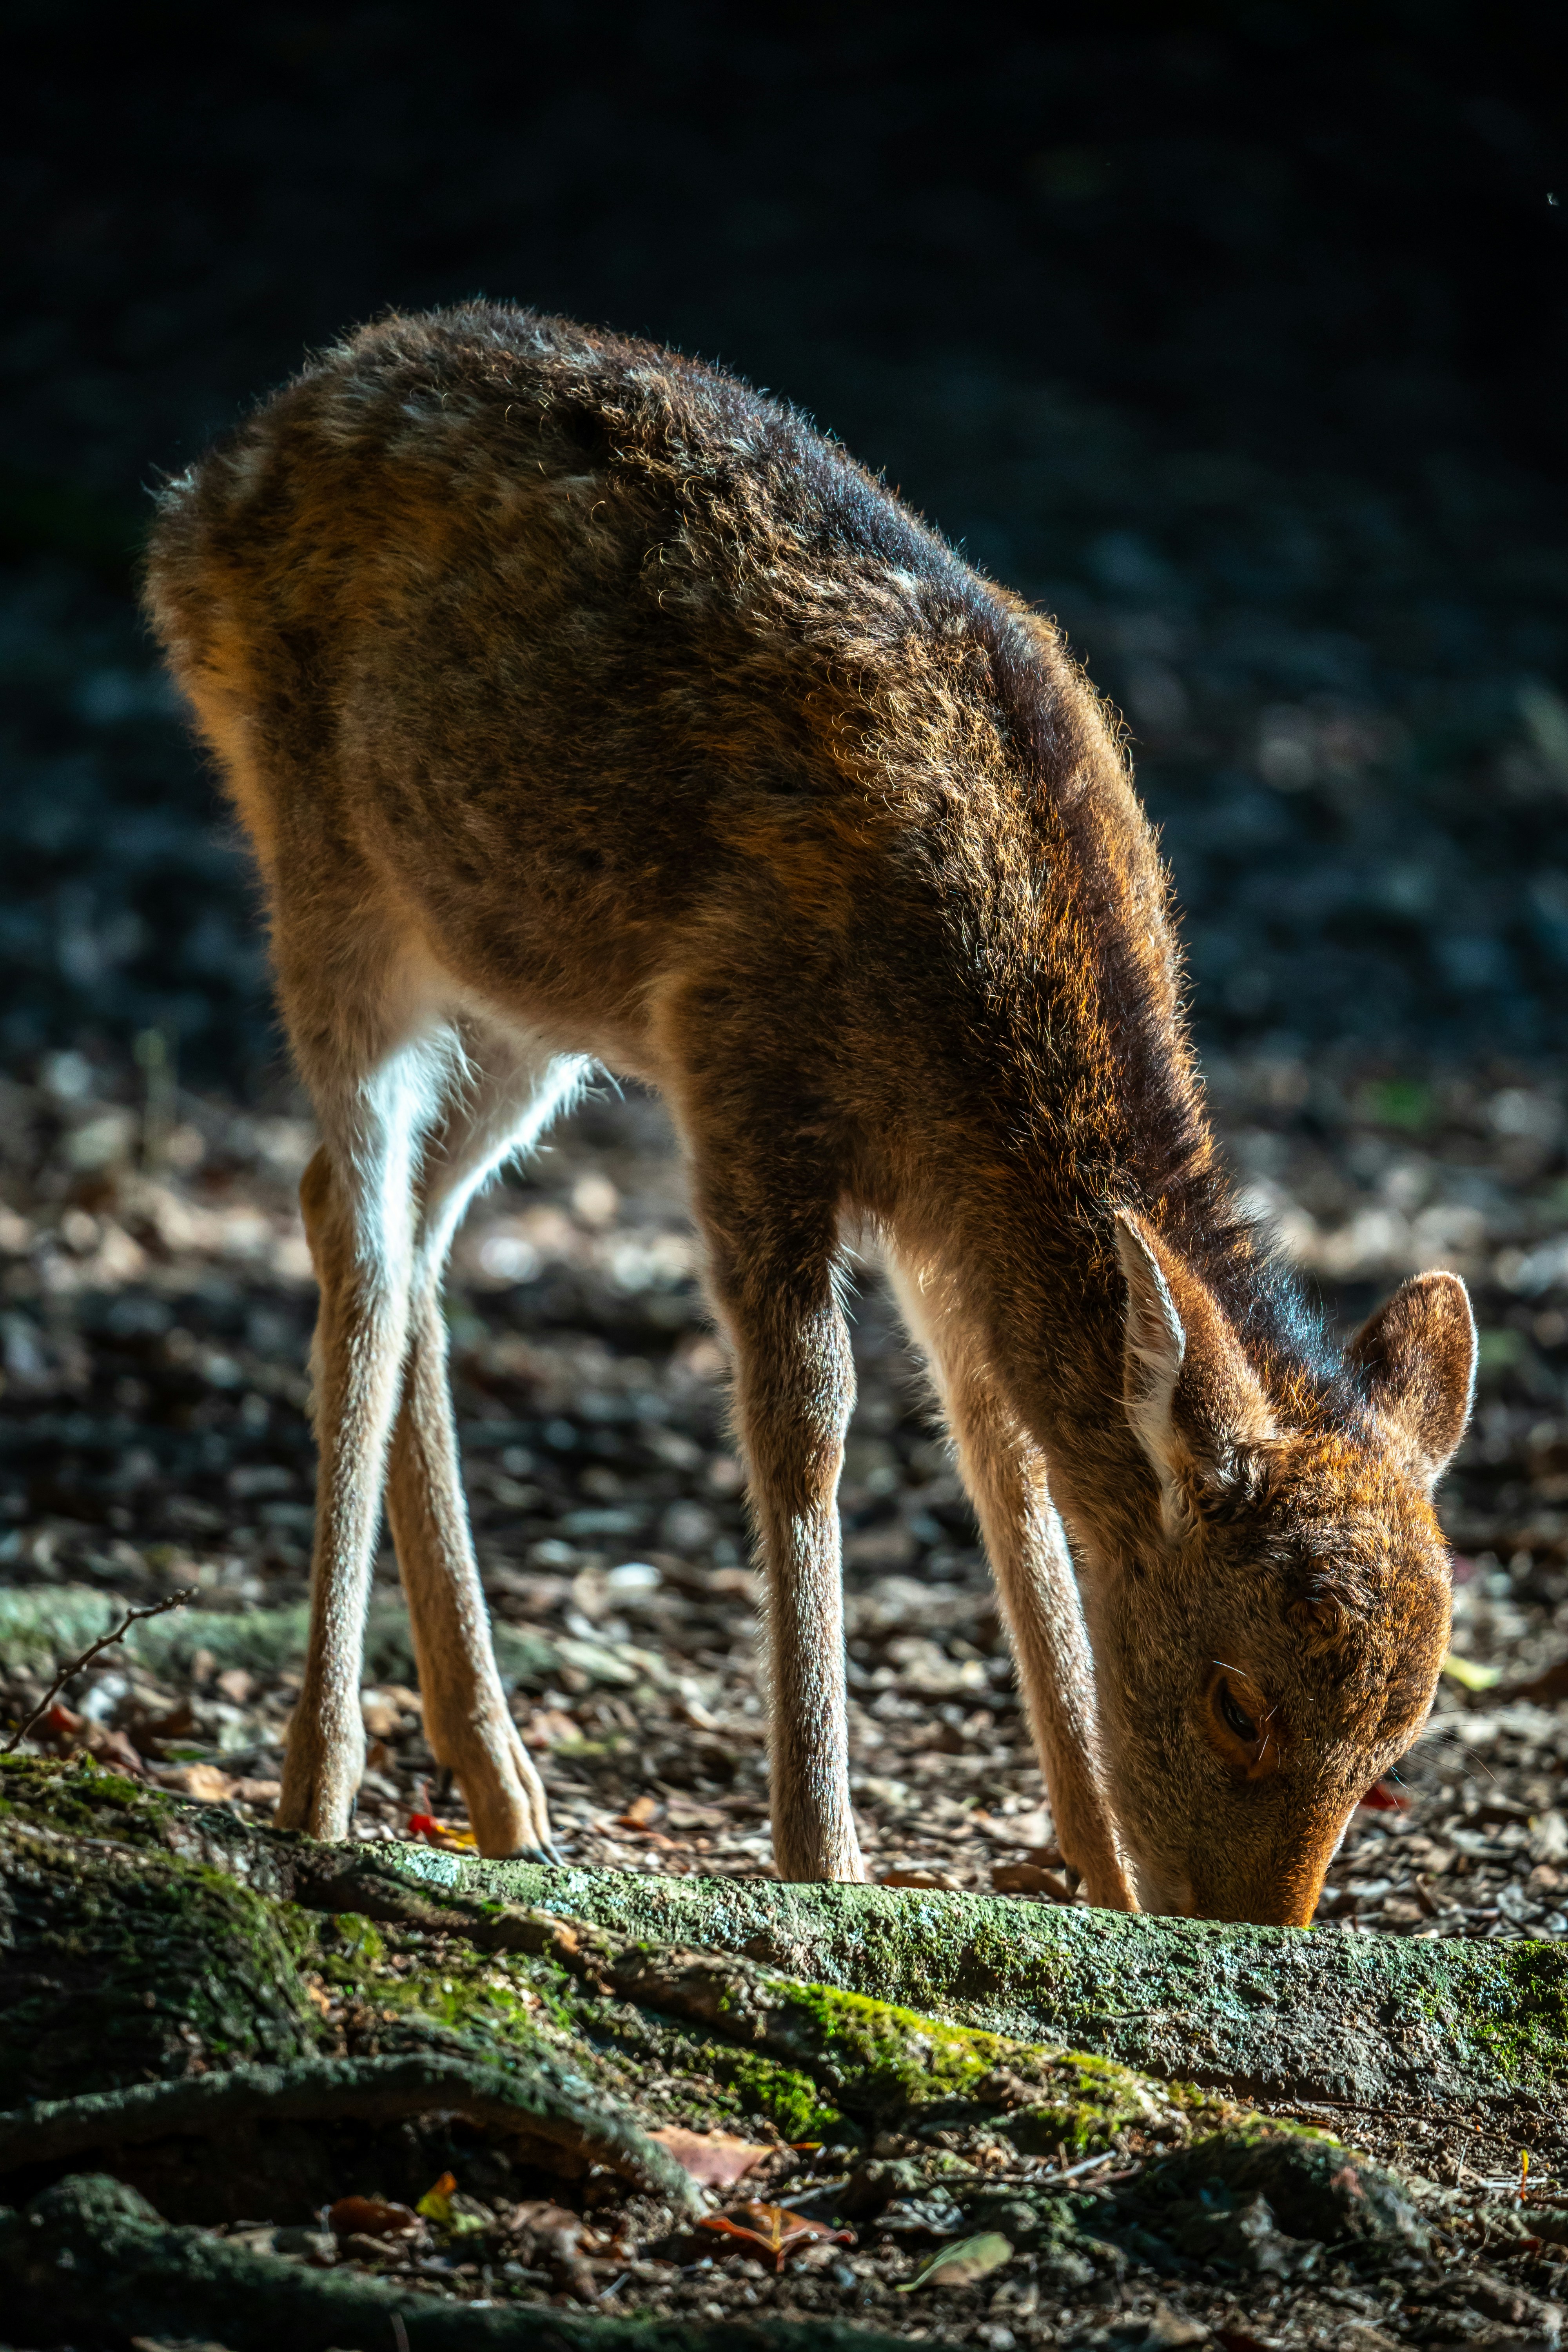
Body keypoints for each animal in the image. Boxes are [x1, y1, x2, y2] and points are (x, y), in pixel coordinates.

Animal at [144, 305, 1477, 1923]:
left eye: (1400, 1736)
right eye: (1236, 1701)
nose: (1251, 1932)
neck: (963, 1041)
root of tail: (200, 492)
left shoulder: (938, 1207)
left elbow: (1000, 1450)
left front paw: (1093, 1867)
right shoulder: (744, 1065)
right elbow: (809, 1423)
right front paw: (822, 1855)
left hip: (524, 987)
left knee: (410, 1228)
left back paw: (502, 1786)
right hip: (322, 862)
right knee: (352, 1215)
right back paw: (322, 1780)